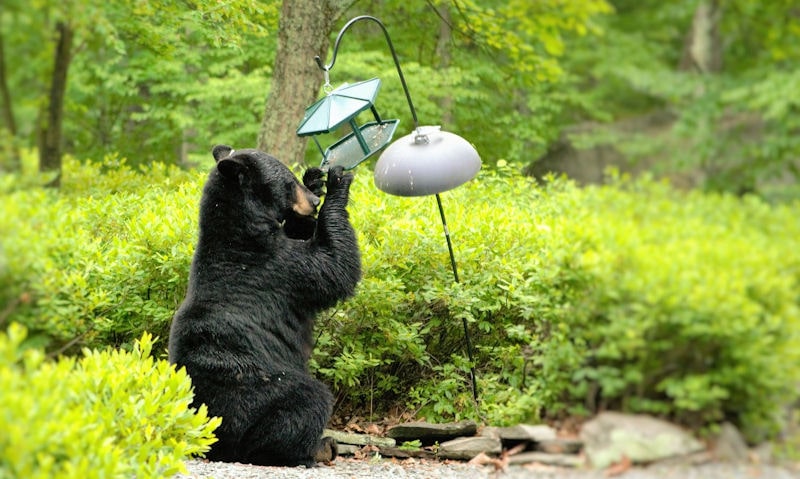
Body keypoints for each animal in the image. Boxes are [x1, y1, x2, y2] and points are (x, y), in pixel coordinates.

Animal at [170, 147, 360, 468]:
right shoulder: (278, 267)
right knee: (306, 403)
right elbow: (332, 266)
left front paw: (316, 179)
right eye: (288, 182)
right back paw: (314, 448)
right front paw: (337, 183)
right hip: (261, 391)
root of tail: (212, 438)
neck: (241, 232)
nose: (312, 202)